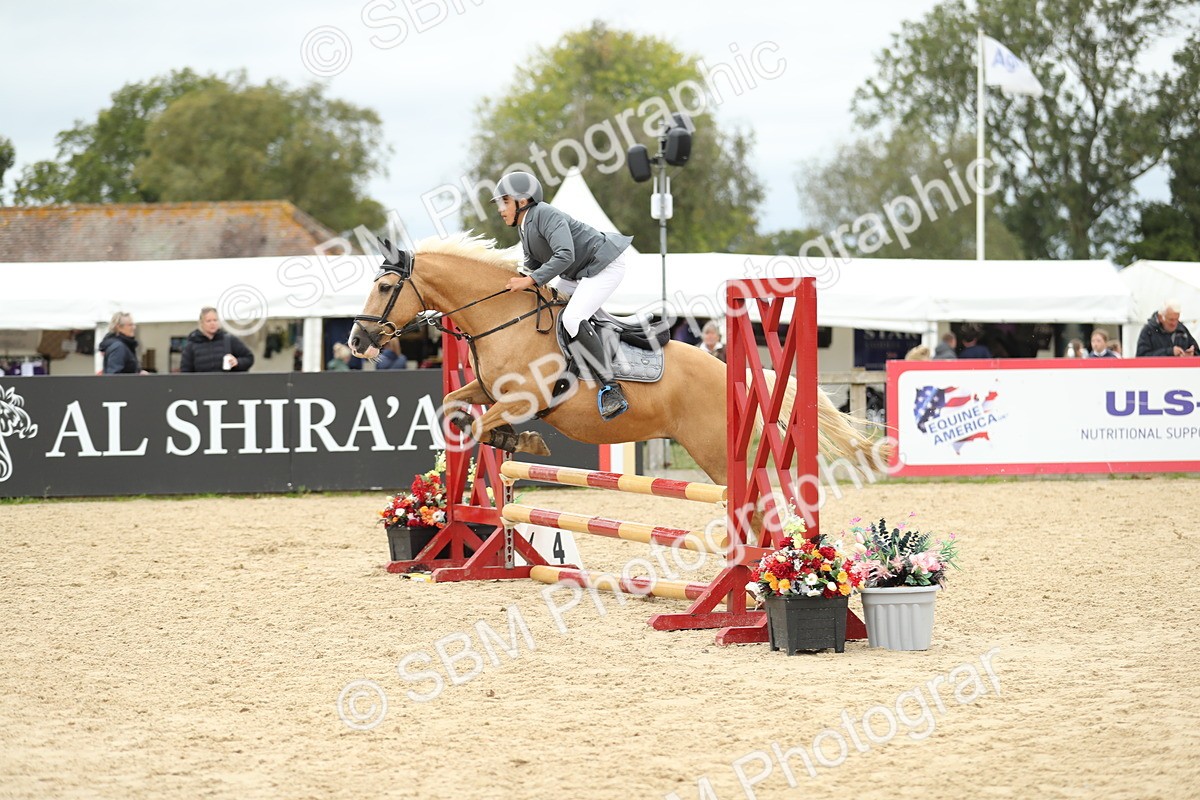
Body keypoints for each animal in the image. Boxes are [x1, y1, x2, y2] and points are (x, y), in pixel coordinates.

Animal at [347, 233, 878, 489]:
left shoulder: (524, 398)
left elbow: (481, 424)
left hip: (713, 453)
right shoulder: (486, 389)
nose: (357, 341)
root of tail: (738, 373)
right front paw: (510, 441)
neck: (502, 319)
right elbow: (455, 409)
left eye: (385, 286)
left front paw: (527, 441)